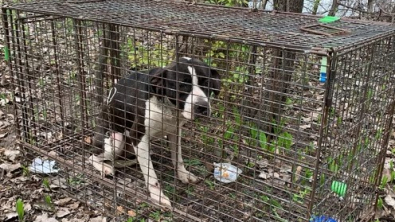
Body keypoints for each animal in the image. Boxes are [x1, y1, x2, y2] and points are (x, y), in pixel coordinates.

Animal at [94, 56, 221, 207]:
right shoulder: (138, 136)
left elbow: (178, 158)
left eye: (206, 82)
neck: (168, 106)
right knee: (93, 157)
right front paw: (158, 196)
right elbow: (151, 175)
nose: (202, 107)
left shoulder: (175, 132)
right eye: (182, 85)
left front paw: (183, 174)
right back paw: (105, 168)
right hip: (116, 139)